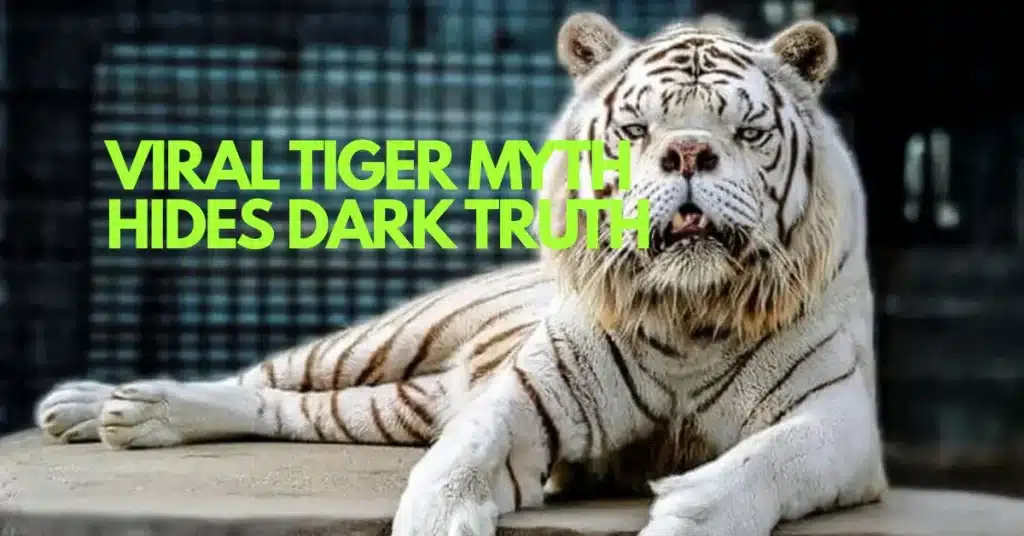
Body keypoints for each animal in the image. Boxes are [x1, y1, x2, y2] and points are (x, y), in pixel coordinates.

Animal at [32, 10, 887, 536]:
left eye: (747, 132)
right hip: (381, 341)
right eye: (636, 129)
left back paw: (122, 415)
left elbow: (768, 460)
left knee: (287, 409)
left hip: (395, 404)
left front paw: (689, 515)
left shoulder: (838, 419)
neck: (687, 311)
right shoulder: (531, 396)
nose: (686, 152)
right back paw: (104, 405)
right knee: (260, 377)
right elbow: (459, 462)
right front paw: (438, 517)